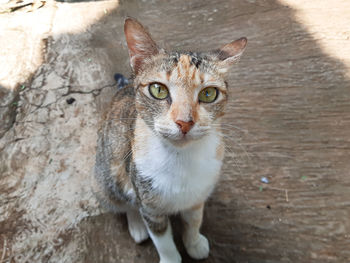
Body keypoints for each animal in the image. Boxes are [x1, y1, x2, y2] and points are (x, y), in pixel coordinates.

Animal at [94, 17, 247, 262]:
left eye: (208, 94)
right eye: (158, 90)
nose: (185, 122)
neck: (181, 158)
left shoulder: (198, 195)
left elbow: (194, 221)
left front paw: (194, 243)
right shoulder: (149, 206)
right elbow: (162, 240)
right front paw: (171, 257)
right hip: (107, 176)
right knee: (123, 201)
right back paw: (136, 225)